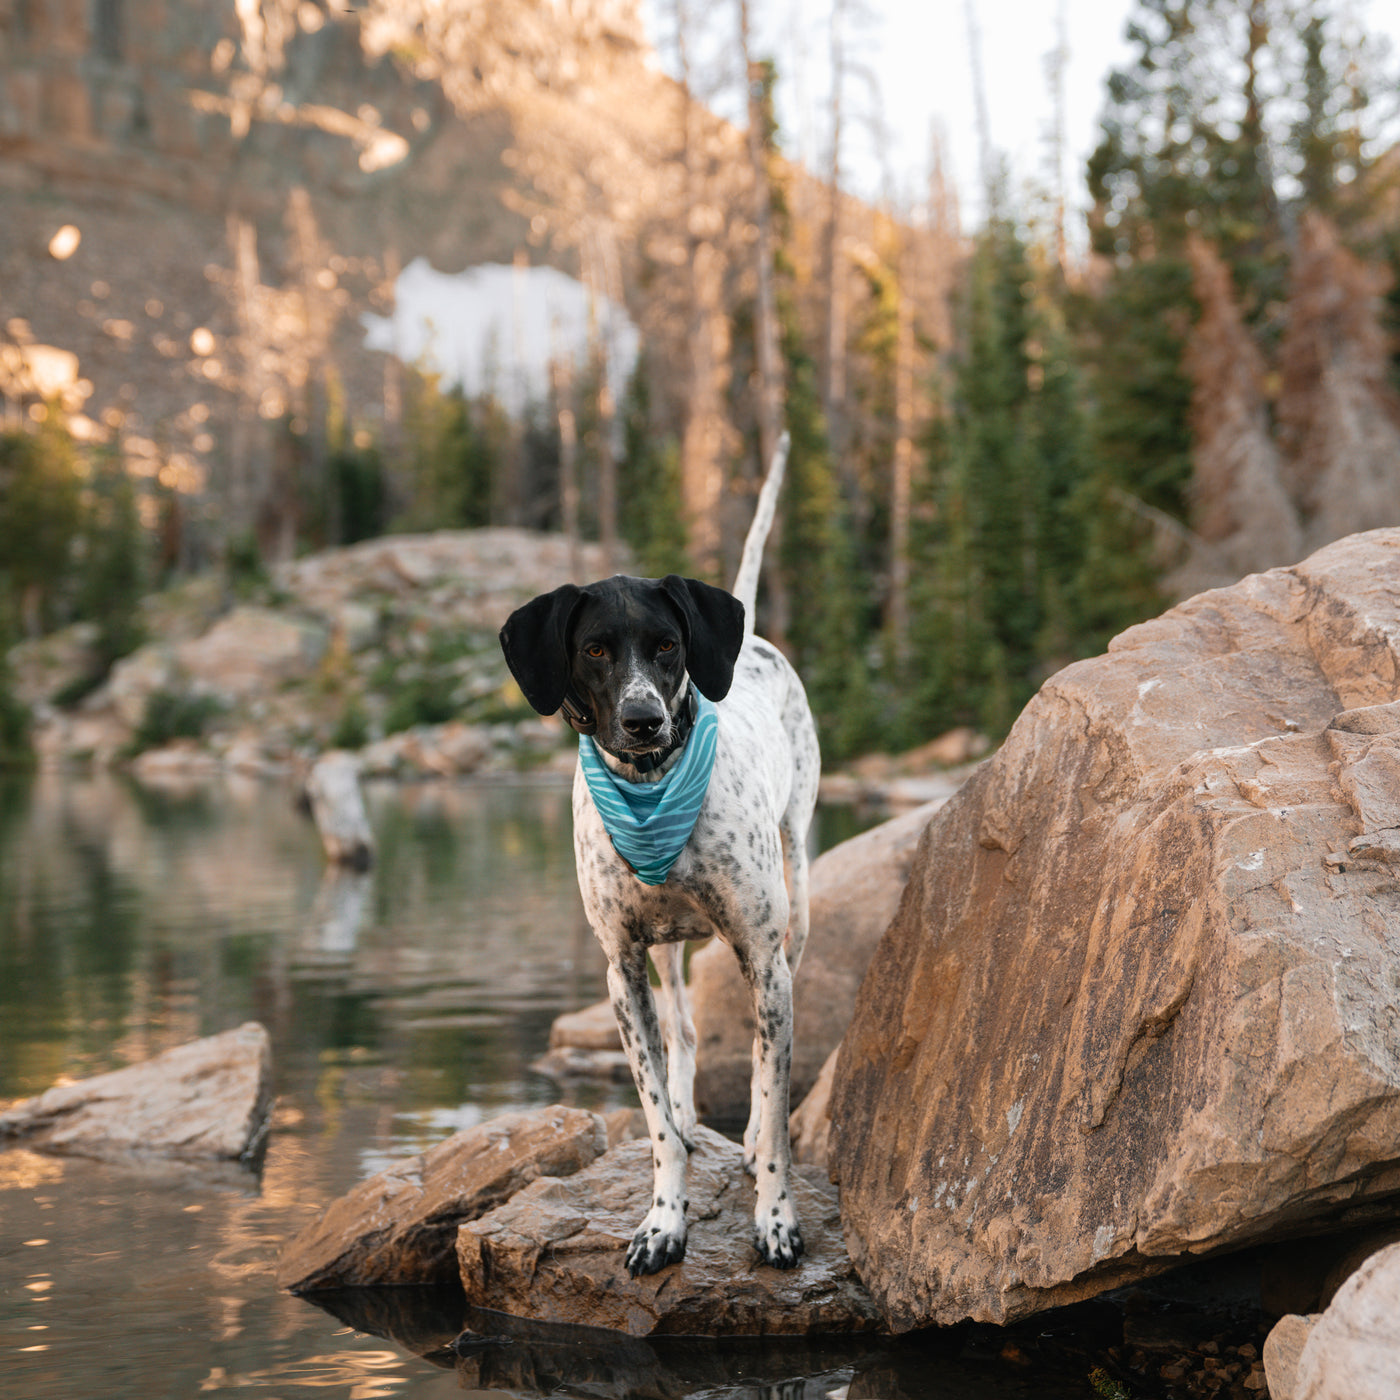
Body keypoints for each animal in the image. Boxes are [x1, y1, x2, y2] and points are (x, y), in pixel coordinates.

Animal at [501, 431, 817, 1276]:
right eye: (594, 650)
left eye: (669, 646)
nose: (643, 719)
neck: (650, 786)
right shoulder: (621, 968)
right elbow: (655, 1124)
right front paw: (663, 1221)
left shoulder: (761, 958)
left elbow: (774, 1103)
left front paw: (776, 1217)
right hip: (666, 954)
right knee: (684, 1036)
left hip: (797, 886)